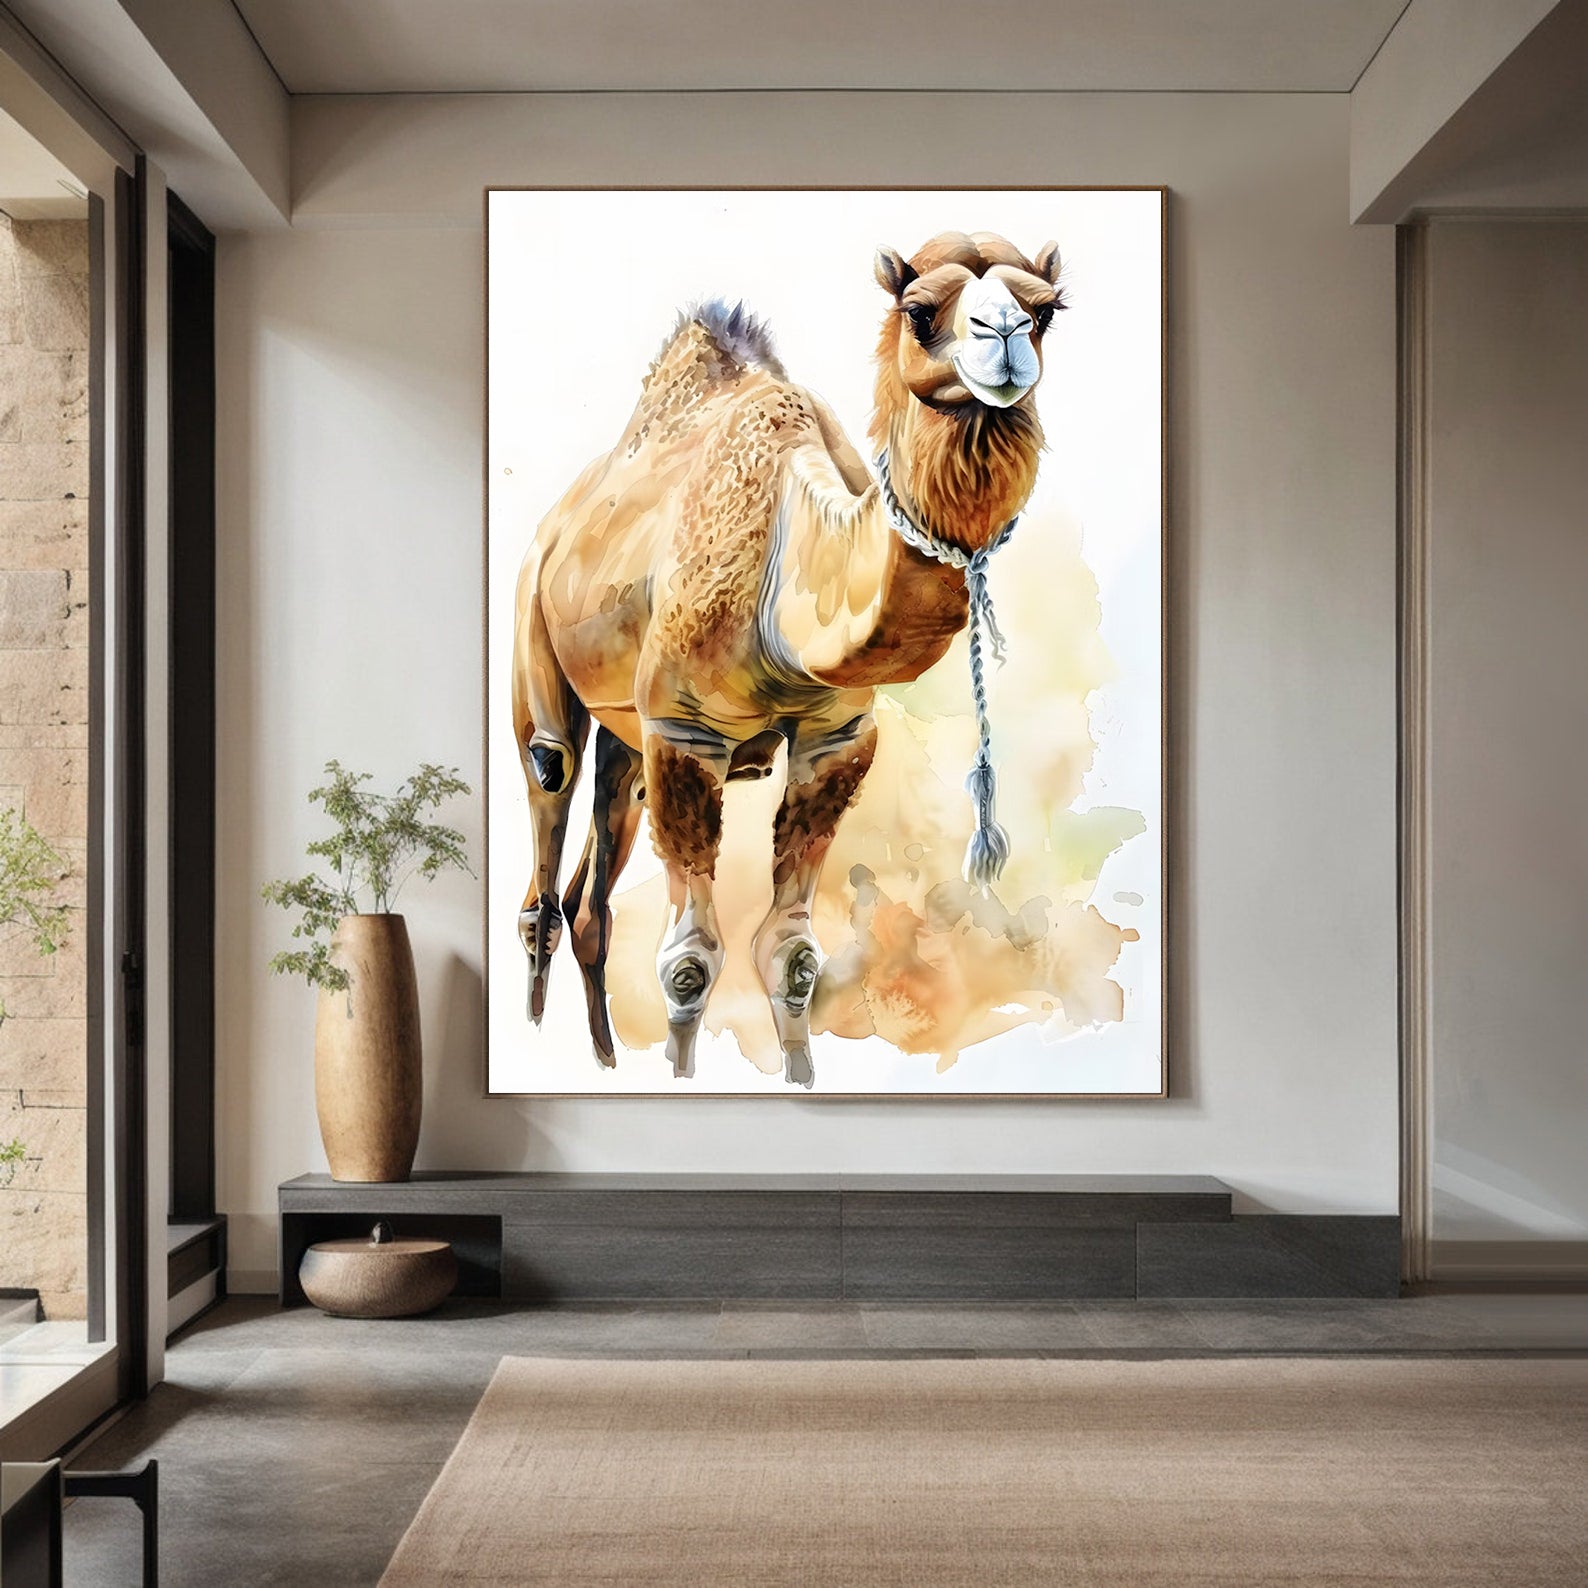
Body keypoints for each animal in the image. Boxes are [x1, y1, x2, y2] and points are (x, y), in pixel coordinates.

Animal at [510, 230, 1064, 1086]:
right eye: (919, 310)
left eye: (1047, 311)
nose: (1003, 337)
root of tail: (556, 523)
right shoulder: (686, 731)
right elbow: (689, 962)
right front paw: (680, 1072)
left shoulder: (836, 739)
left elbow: (792, 953)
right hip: (538, 632)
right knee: (547, 796)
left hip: (628, 739)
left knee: (591, 888)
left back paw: (602, 1057)